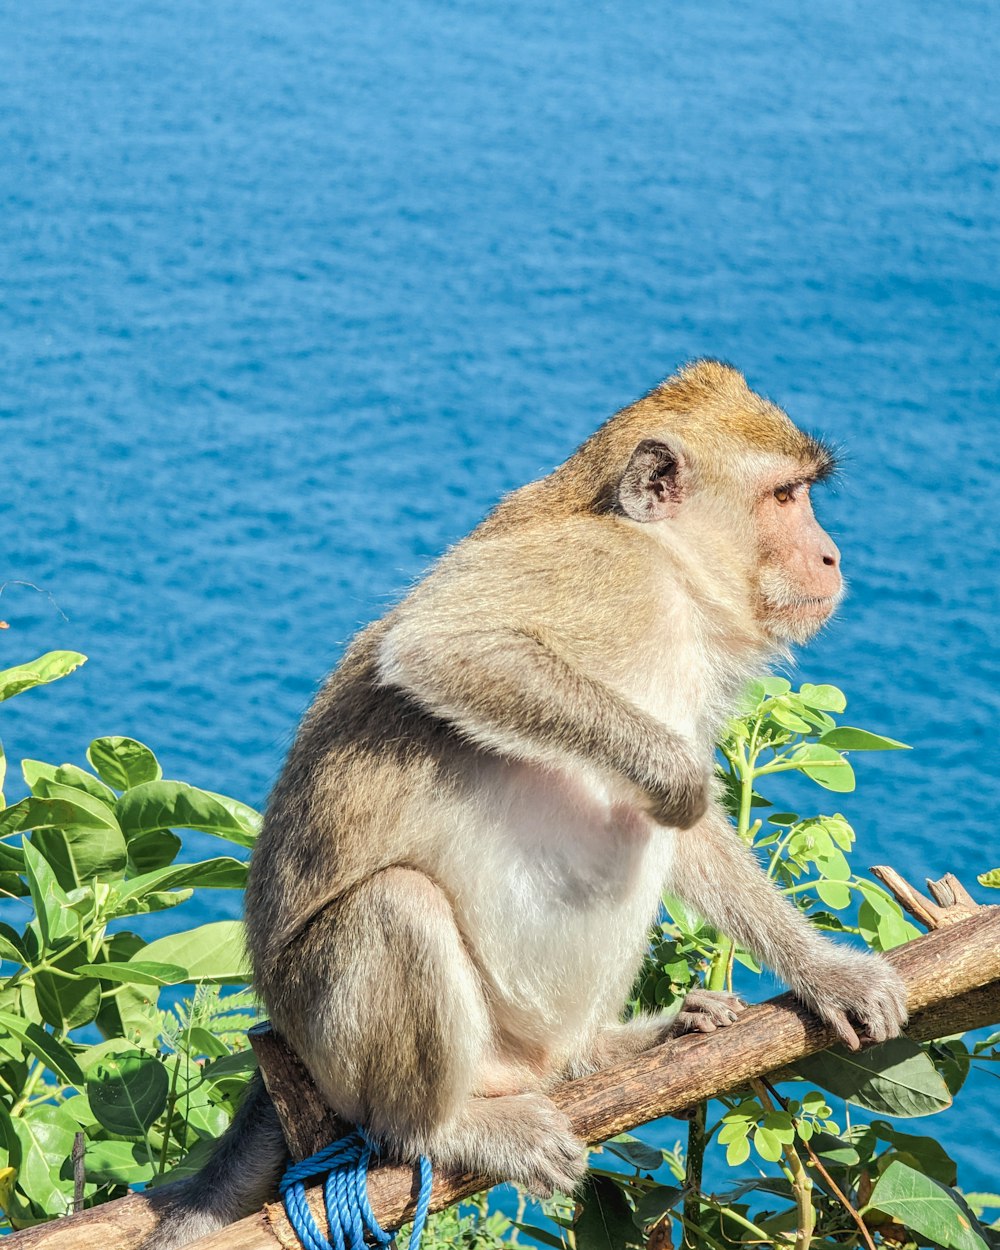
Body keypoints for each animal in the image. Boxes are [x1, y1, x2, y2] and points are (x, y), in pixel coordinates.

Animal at [144, 362, 910, 1250]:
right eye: (784, 496)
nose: (830, 555)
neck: (671, 570)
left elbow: (691, 839)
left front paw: (824, 972)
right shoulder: (599, 570)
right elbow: (442, 647)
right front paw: (675, 775)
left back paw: (603, 1055)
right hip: (336, 1043)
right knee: (399, 905)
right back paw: (445, 1129)